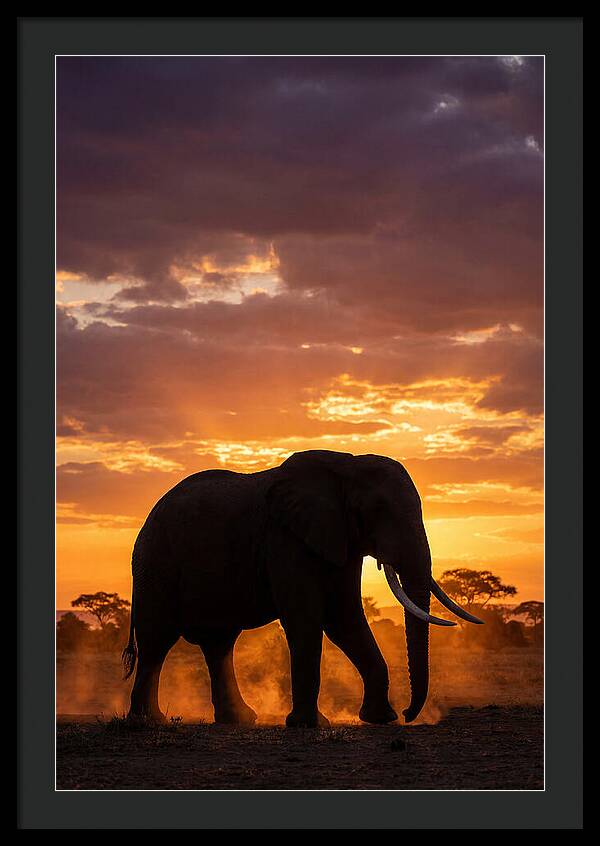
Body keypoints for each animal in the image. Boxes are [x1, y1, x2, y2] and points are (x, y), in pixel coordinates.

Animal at [122, 449, 482, 727]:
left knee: (218, 644)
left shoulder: (339, 538)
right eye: (376, 511)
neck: (346, 465)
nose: (409, 714)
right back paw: (148, 722)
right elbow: (307, 619)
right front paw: (308, 724)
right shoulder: (284, 537)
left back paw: (239, 720)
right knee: (157, 642)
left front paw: (381, 719)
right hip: (155, 564)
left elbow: (344, 618)